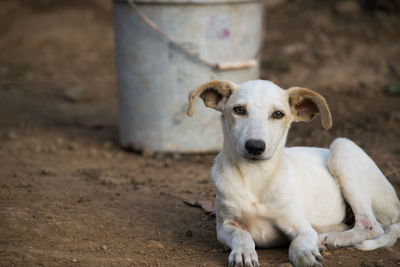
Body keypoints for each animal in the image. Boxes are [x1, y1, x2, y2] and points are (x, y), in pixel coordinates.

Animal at [187, 80, 400, 267]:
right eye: (239, 110)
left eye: (278, 114)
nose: (255, 146)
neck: (255, 177)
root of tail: (397, 206)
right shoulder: (225, 226)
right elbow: (241, 234)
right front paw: (243, 253)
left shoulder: (300, 226)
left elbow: (299, 242)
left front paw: (306, 254)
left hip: (341, 147)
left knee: (371, 226)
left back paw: (327, 238)